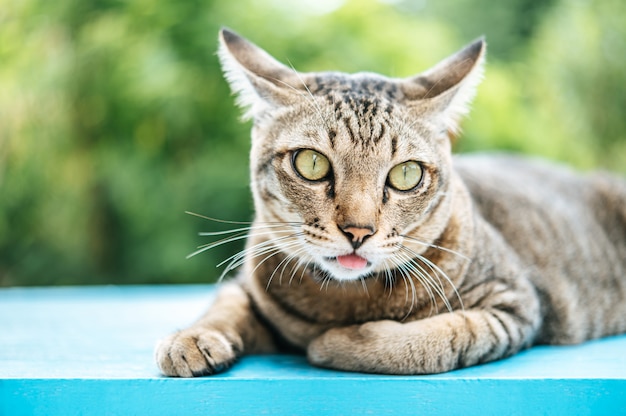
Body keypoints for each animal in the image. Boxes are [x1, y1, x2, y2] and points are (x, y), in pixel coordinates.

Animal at [152, 27, 624, 376]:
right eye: (311, 163)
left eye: (406, 175)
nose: (358, 231)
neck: (345, 298)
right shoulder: (250, 277)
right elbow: (227, 302)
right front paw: (192, 337)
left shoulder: (512, 306)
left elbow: (432, 339)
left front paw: (335, 343)